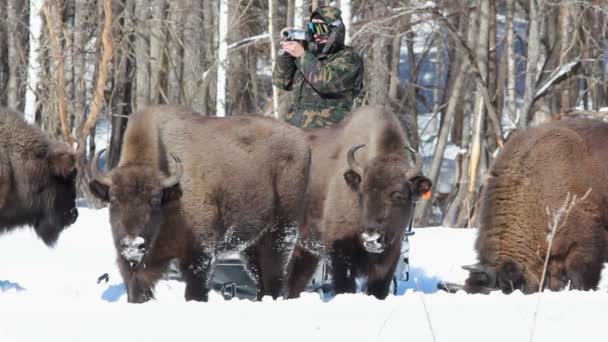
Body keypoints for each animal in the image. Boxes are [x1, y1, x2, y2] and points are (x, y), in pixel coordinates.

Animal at [89, 105, 314, 304]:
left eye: (154, 200)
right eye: (114, 200)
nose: (133, 245)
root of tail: (303, 143)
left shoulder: (200, 254)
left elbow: (195, 292)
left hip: (282, 231)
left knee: (275, 277)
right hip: (250, 245)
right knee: (260, 280)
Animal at [288, 107, 432, 300]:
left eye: (399, 195)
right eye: (361, 193)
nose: (371, 237)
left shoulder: (390, 255)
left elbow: (379, 288)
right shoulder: (340, 254)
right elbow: (345, 286)